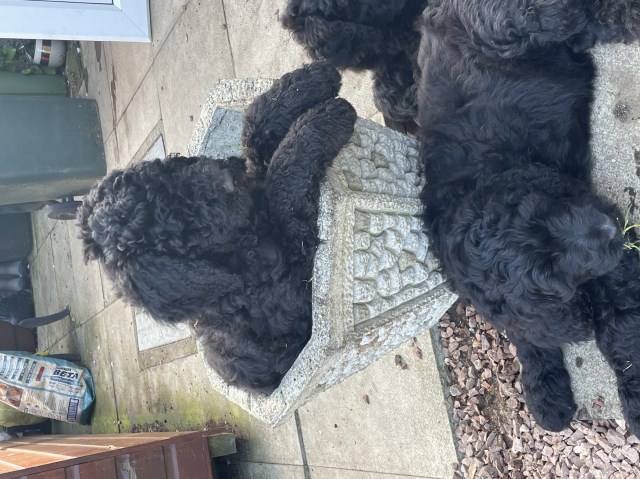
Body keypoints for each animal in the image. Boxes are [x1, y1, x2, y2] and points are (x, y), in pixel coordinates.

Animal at [77, 62, 358, 394]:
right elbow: (281, 181)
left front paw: (308, 82)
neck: (242, 241)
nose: (224, 180)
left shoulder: (250, 182)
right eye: (176, 226)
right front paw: (323, 119)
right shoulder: (292, 271)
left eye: (164, 175)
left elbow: (254, 133)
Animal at [418, 0, 640, 436]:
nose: (608, 228)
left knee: (585, 14)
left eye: (544, 209)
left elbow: (622, 333)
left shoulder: (617, 264)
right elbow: (530, 337)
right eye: (551, 276)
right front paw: (546, 395)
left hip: (515, 24)